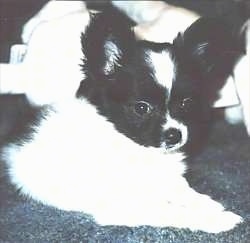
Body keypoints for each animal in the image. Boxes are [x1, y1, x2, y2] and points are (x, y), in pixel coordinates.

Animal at [0, 0, 246, 233]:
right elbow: (170, 211)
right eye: (141, 108)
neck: (137, 149)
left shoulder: (166, 176)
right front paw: (217, 219)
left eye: (186, 104)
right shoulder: (126, 205)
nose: (175, 135)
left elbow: (181, 188)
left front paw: (205, 202)